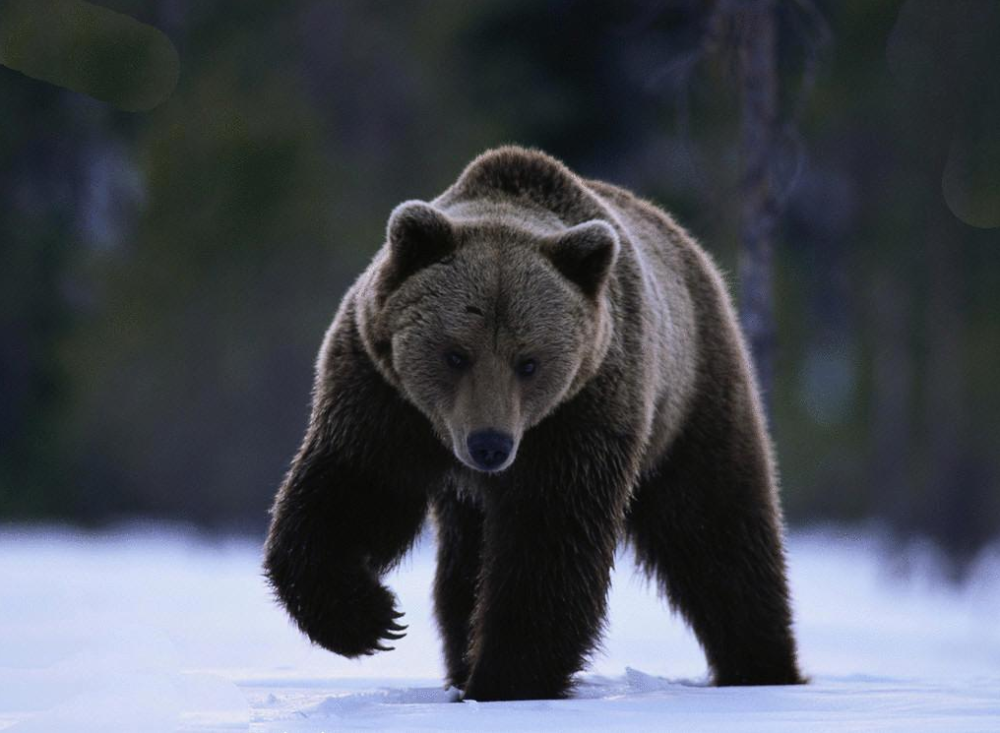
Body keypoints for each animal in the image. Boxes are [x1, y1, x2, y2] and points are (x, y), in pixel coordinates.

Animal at [262, 146, 800, 700]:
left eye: (529, 362)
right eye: (456, 354)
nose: (490, 445)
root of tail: (688, 245)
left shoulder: (581, 413)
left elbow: (549, 541)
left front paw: (506, 678)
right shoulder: (382, 395)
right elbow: (352, 491)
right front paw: (370, 618)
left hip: (691, 397)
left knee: (716, 531)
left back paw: (761, 666)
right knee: (462, 568)